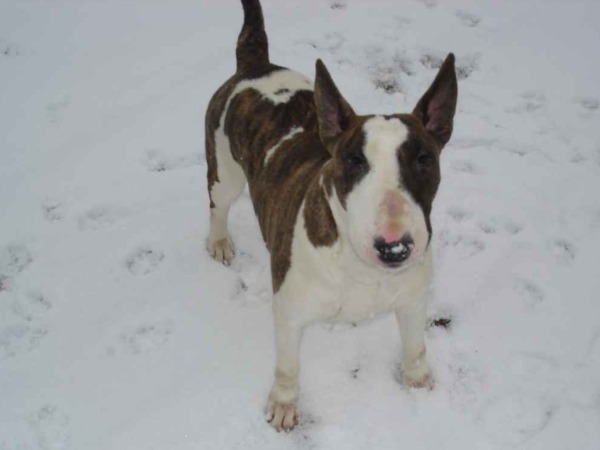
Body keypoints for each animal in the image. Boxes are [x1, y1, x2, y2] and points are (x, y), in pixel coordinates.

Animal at [204, 0, 458, 430]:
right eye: (354, 160)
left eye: (424, 159)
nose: (395, 247)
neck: (360, 267)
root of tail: (256, 66)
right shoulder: (289, 311)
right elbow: (288, 365)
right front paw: (284, 404)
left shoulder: (412, 298)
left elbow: (415, 345)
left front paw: (418, 380)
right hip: (224, 172)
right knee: (216, 204)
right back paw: (219, 241)